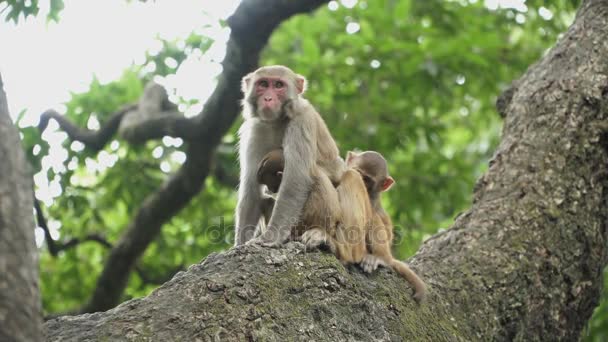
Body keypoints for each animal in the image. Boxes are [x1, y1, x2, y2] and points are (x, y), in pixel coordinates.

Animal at [234, 65, 346, 246]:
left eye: (279, 85)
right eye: (263, 84)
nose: (268, 98)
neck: (276, 121)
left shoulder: (302, 120)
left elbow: (295, 180)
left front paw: (270, 237)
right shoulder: (256, 130)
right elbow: (251, 189)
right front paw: (239, 244)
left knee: (315, 174)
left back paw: (319, 231)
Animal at [346, 151, 428, 304]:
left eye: (367, 180)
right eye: (357, 173)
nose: (358, 183)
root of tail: (389, 256)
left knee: (373, 218)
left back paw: (379, 257)